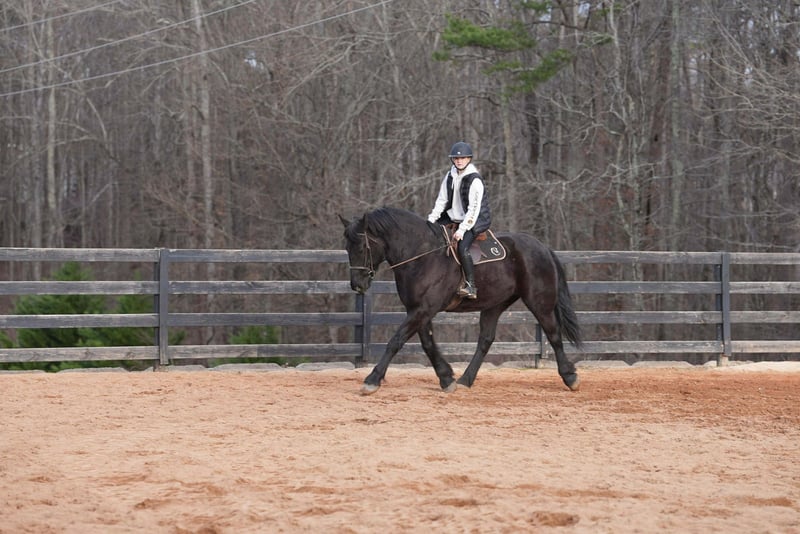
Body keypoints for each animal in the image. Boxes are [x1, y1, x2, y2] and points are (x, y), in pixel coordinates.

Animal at [340, 206, 582, 395]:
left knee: (553, 334)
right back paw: (466, 379)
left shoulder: (422, 310)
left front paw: (372, 380)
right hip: (495, 305)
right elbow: (428, 344)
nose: (357, 285)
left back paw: (570, 377)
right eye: (347, 248)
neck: (422, 255)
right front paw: (447, 378)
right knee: (486, 340)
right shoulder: (419, 310)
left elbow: (396, 341)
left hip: (539, 302)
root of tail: (542, 247)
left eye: (362, 247)